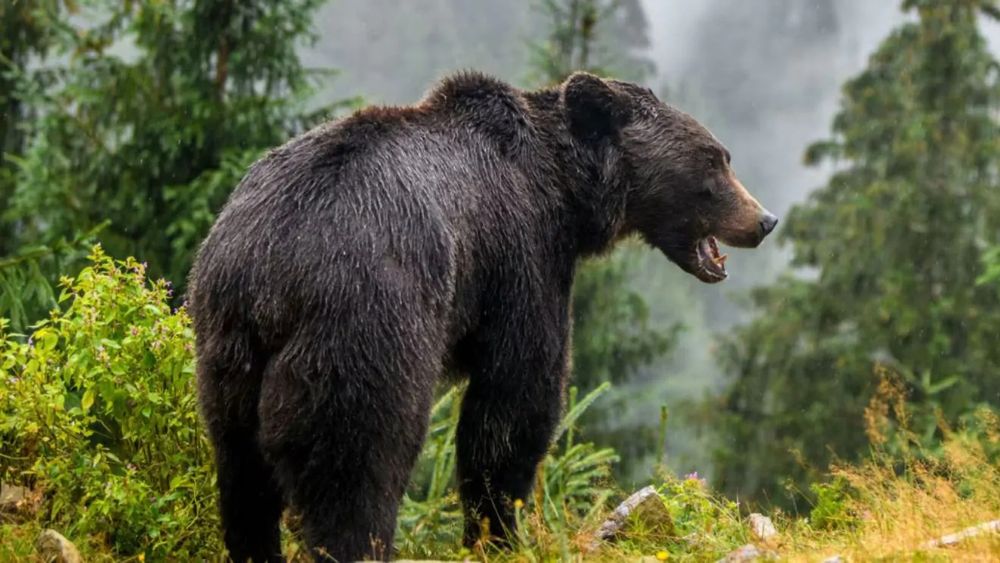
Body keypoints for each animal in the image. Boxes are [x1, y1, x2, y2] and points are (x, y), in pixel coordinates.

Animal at [189, 72, 780, 560]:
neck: (567, 193)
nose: (765, 220)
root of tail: (272, 272)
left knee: (242, 474)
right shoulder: (521, 256)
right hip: (365, 322)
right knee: (358, 463)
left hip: (227, 350)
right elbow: (515, 398)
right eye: (715, 159)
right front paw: (500, 532)